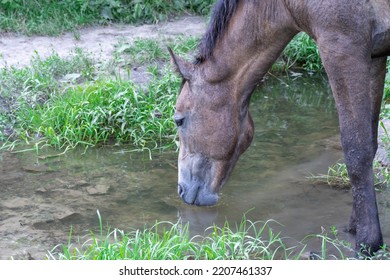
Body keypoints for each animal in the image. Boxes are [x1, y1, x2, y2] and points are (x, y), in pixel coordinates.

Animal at [169, 0, 390, 254]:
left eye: (179, 120)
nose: (181, 190)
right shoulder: (374, 56)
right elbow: (369, 144)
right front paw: (356, 225)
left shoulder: (343, 50)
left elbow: (357, 150)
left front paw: (368, 241)